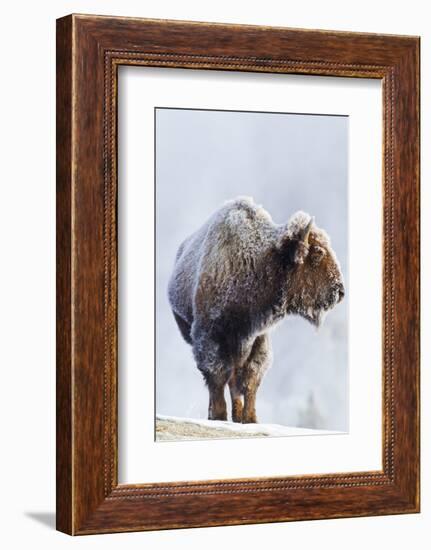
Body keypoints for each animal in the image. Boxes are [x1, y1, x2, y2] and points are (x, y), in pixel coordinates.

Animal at [167, 198, 346, 426]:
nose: (340, 291)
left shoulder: (258, 338)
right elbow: (217, 376)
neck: (259, 262)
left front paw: (250, 419)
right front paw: (219, 415)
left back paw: (237, 415)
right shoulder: (210, 337)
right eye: (317, 253)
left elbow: (250, 378)